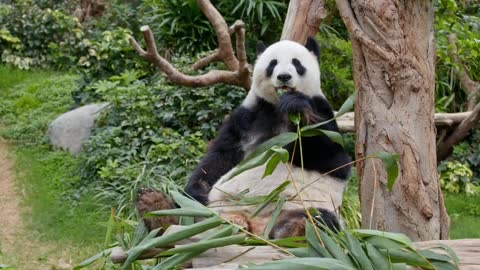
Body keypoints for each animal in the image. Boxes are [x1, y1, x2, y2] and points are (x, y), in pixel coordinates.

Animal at [137, 36, 350, 238]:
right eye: (273, 64)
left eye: (297, 63)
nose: (284, 77)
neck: (277, 108)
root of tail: (255, 226)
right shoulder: (247, 118)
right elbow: (219, 158)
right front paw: (195, 191)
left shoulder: (322, 111)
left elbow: (334, 160)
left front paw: (296, 106)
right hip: (216, 211)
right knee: (190, 215)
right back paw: (157, 207)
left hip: (300, 207)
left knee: (320, 219)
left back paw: (296, 228)